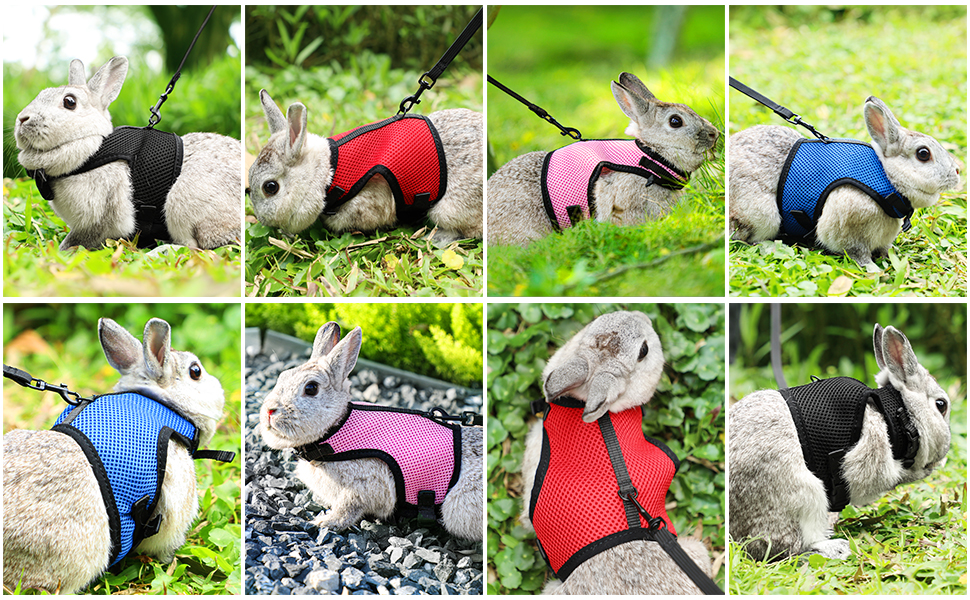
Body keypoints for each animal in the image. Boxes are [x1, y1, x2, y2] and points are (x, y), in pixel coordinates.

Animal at [13, 56, 242, 250]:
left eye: (70, 102)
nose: (22, 119)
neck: (95, 151)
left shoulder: (100, 217)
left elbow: (77, 240)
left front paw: (61, 251)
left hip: (181, 204)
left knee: (196, 247)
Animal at [259, 322, 483, 541]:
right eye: (282, 376)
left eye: (311, 388)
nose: (270, 411)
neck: (335, 428)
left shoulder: (362, 487)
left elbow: (348, 509)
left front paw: (324, 522)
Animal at [728, 324, 952, 561]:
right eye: (941, 405)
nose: (945, 450)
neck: (895, 414)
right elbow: (890, 475)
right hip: (804, 497)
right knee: (785, 547)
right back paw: (836, 547)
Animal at [729, 97, 961, 271]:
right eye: (923, 154)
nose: (958, 171)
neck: (886, 176)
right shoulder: (850, 230)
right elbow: (858, 253)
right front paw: (874, 271)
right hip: (763, 216)